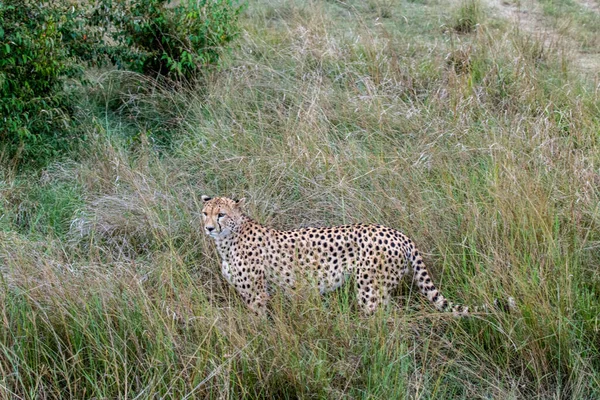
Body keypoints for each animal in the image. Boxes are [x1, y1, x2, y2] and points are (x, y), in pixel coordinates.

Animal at [203, 196, 510, 316]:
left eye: (221, 214)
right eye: (205, 213)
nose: (208, 228)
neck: (228, 238)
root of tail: (398, 233)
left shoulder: (257, 295)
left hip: (369, 290)